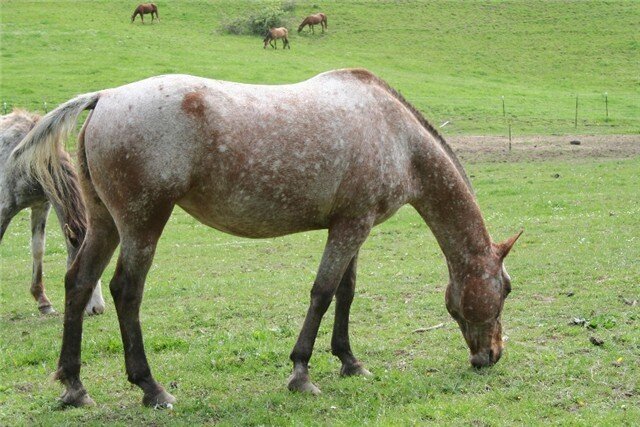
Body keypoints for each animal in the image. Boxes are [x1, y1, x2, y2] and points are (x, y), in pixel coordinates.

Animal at [12, 68, 521, 407]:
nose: (492, 355)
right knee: (125, 291)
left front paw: (349, 361)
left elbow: (346, 292)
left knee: (79, 283)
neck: (395, 135)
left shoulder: (351, 226)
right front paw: (301, 372)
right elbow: (322, 293)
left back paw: (75, 387)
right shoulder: (352, 227)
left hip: (106, 224)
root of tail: (105, 97)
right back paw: (151, 388)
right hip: (142, 225)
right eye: (507, 289)